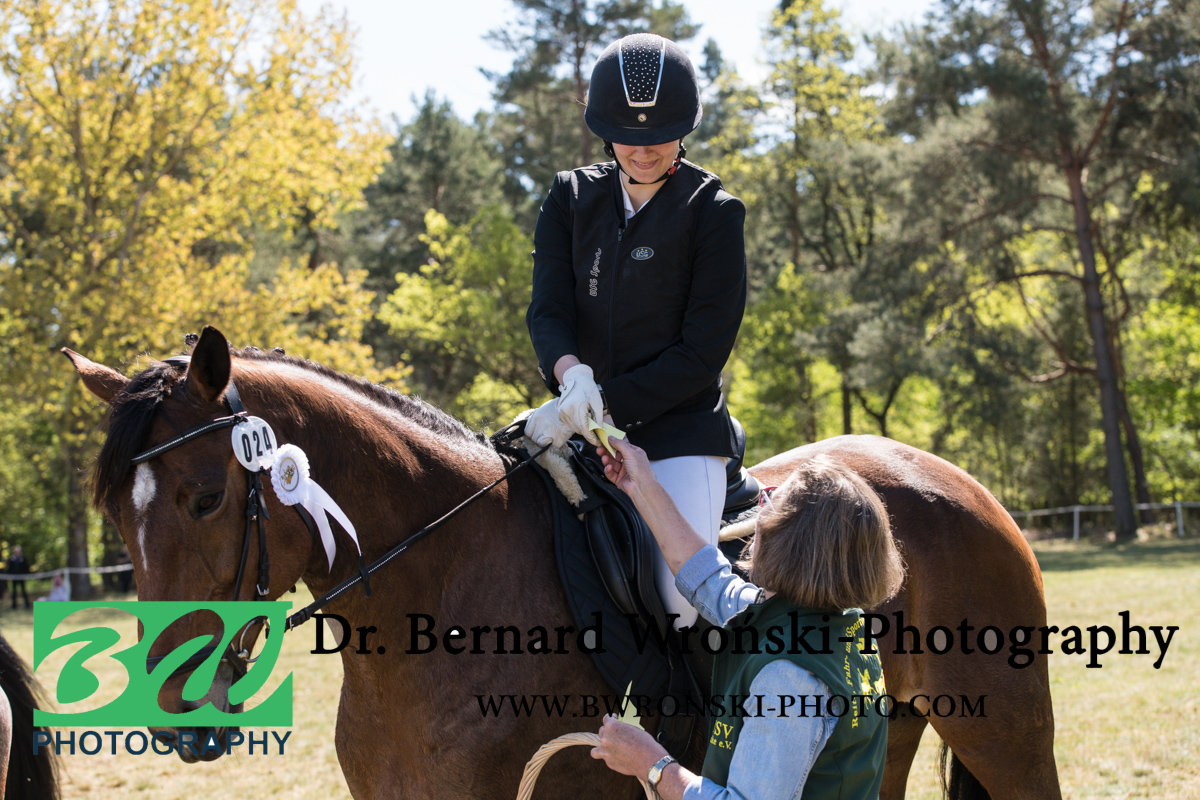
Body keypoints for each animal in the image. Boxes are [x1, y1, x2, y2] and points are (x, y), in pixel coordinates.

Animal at [65, 325, 1061, 799]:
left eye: (204, 498)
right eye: (112, 513)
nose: (175, 716)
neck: (438, 598)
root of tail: (953, 479)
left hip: (1006, 729)